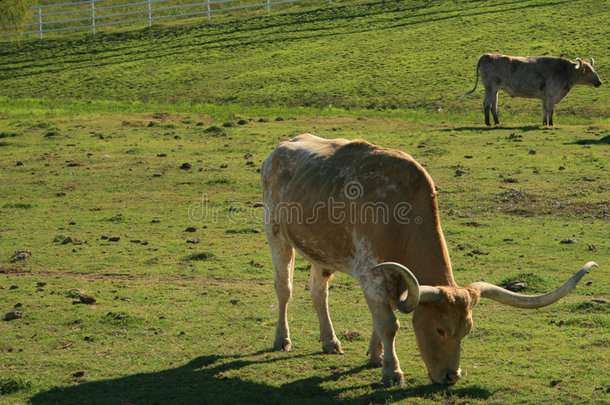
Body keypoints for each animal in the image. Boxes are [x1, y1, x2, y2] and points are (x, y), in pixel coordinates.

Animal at [260, 133, 592, 386]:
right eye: (439, 329)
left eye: (467, 329)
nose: (451, 376)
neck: (400, 214)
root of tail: (281, 147)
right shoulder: (372, 275)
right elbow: (389, 324)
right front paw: (392, 372)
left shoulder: (391, 279)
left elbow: (379, 320)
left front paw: (376, 357)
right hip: (276, 234)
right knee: (284, 289)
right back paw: (282, 339)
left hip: (320, 249)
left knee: (319, 292)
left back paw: (330, 341)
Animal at [460, 52, 600, 124]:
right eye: (587, 70)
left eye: (594, 69)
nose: (599, 82)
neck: (564, 71)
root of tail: (487, 55)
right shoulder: (551, 95)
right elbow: (550, 110)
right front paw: (551, 124)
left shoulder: (545, 96)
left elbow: (544, 110)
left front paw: (544, 124)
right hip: (490, 88)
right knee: (487, 105)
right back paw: (488, 123)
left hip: (494, 91)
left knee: (493, 106)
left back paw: (497, 122)